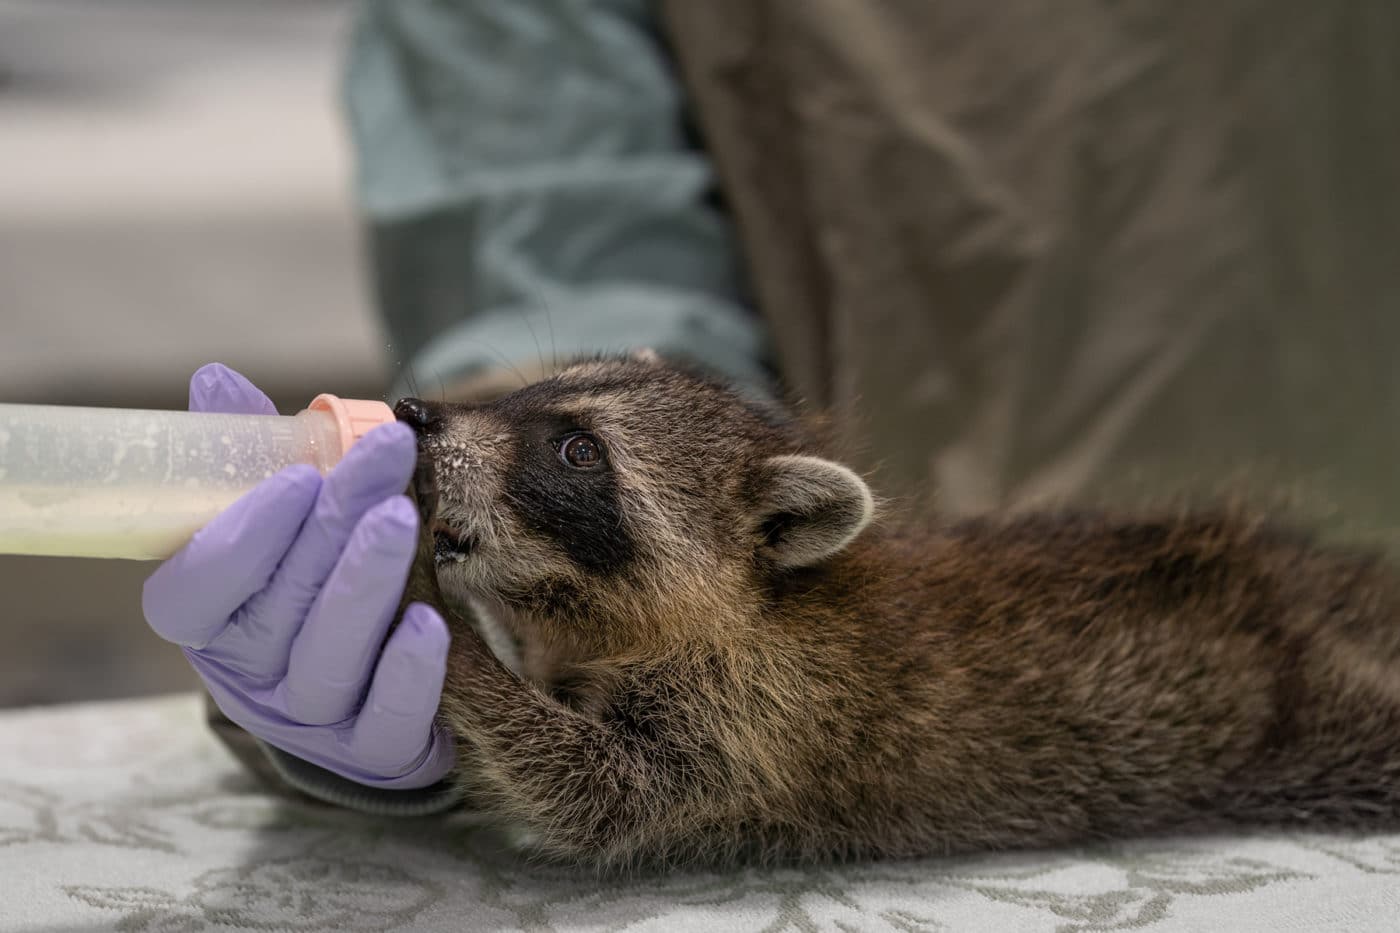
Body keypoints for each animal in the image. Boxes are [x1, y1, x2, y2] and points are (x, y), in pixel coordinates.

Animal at [391, 354, 1400, 871]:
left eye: (576, 451)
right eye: (527, 394)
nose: (415, 415)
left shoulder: (759, 715)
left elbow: (592, 791)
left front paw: (441, 630)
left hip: (1333, 714)